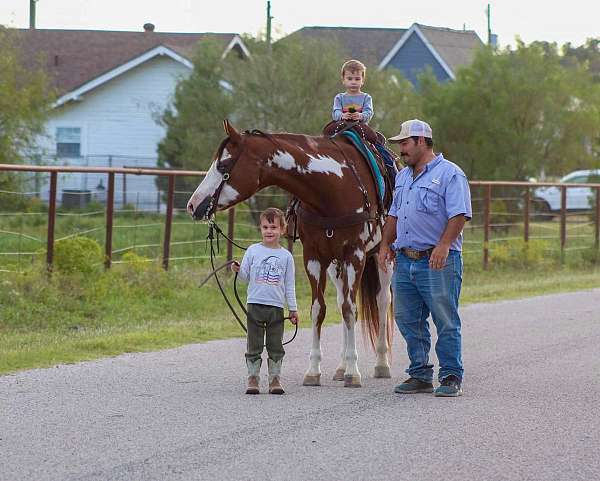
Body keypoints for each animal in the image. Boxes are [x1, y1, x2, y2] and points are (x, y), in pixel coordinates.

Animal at [188, 120, 394, 386]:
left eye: (223, 166)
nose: (193, 205)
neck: (332, 189)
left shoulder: (354, 255)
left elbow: (351, 310)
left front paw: (353, 372)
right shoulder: (314, 258)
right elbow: (319, 310)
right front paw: (315, 370)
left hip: (381, 257)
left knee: (382, 300)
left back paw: (381, 363)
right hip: (335, 265)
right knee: (342, 302)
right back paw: (340, 367)